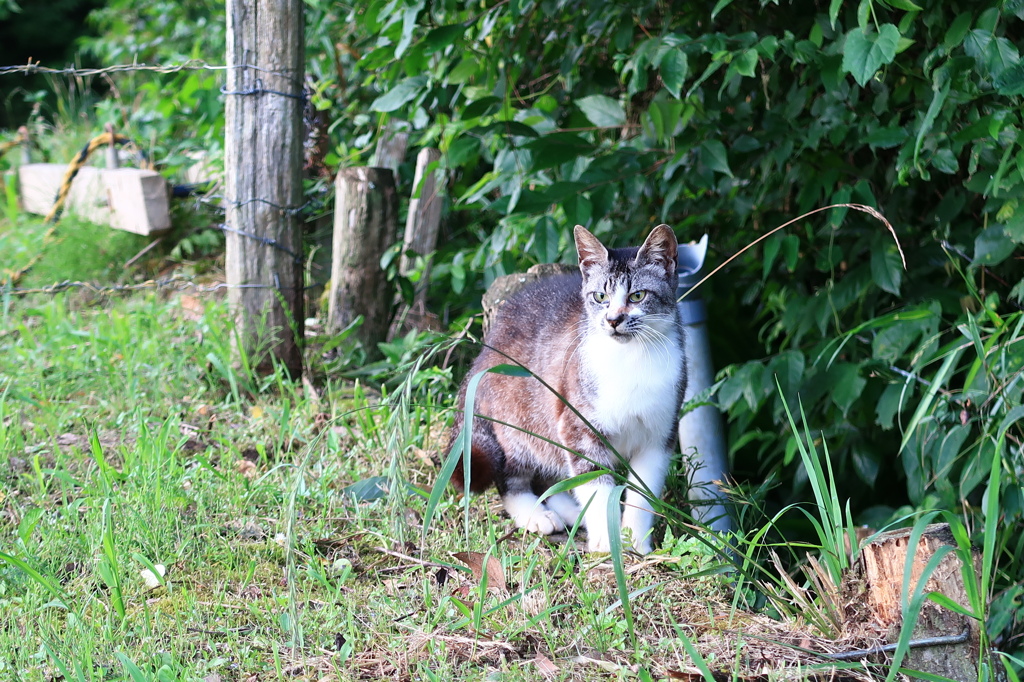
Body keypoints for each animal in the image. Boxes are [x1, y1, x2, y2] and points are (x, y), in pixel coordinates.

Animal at [448, 223, 688, 552]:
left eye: (638, 295)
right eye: (600, 296)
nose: (613, 319)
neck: (631, 358)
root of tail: (485, 349)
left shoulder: (660, 432)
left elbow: (643, 495)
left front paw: (637, 542)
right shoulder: (578, 427)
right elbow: (595, 484)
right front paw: (607, 542)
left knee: (552, 477)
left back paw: (573, 512)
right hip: (519, 421)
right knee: (513, 475)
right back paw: (536, 514)